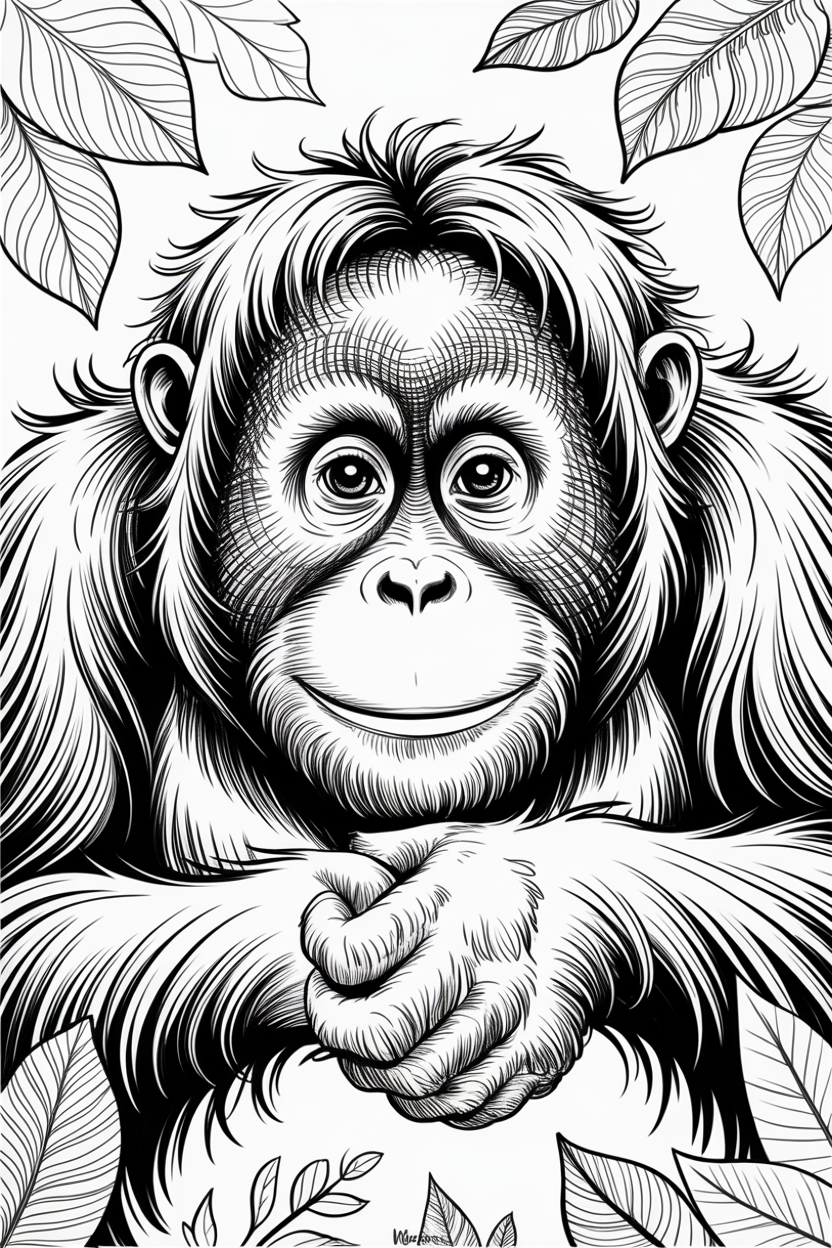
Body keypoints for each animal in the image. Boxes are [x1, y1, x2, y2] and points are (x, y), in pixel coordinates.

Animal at [3, 121, 831, 1243]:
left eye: (482, 476)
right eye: (349, 476)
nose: (414, 583)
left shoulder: (788, 518)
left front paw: (510, 927)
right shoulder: (45, 549)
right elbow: (26, 911)